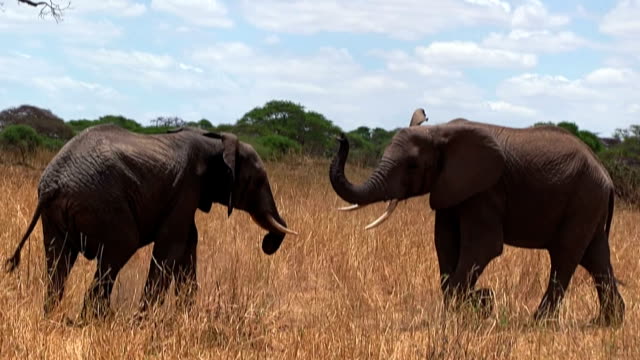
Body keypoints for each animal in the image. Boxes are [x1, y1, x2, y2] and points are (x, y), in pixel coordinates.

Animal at [5, 124, 298, 320]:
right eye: (258, 181)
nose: (267, 244)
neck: (215, 141)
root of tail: (52, 185)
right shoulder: (186, 188)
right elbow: (171, 248)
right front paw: (145, 322)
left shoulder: (186, 195)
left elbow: (188, 245)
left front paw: (184, 318)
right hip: (103, 204)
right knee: (118, 249)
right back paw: (99, 321)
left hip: (55, 216)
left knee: (58, 261)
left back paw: (52, 317)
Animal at [330, 109, 624, 326]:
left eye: (412, 165)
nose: (340, 138)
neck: (439, 131)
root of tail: (608, 178)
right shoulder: (451, 188)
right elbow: (445, 243)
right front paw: (477, 304)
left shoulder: (486, 189)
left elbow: (483, 246)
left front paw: (477, 305)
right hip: (589, 204)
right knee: (595, 257)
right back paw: (606, 322)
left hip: (584, 199)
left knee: (565, 256)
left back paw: (538, 322)